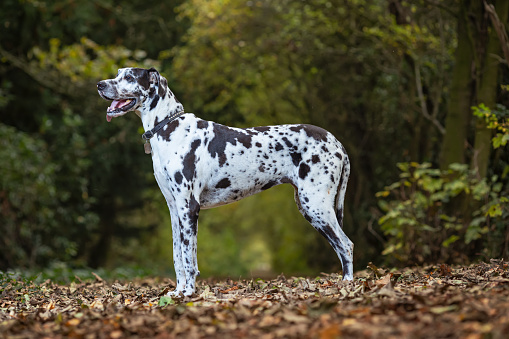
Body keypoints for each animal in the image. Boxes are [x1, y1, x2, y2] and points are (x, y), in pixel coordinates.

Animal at [96, 67, 354, 296]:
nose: (100, 84)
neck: (169, 127)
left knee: (346, 244)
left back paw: (347, 285)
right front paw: (178, 292)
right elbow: (178, 256)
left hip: (316, 205)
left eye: (129, 77)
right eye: (118, 73)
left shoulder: (189, 208)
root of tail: (337, 142)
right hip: (310, 206)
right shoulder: (174, 209)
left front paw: (188, 293)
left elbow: (189, 258)